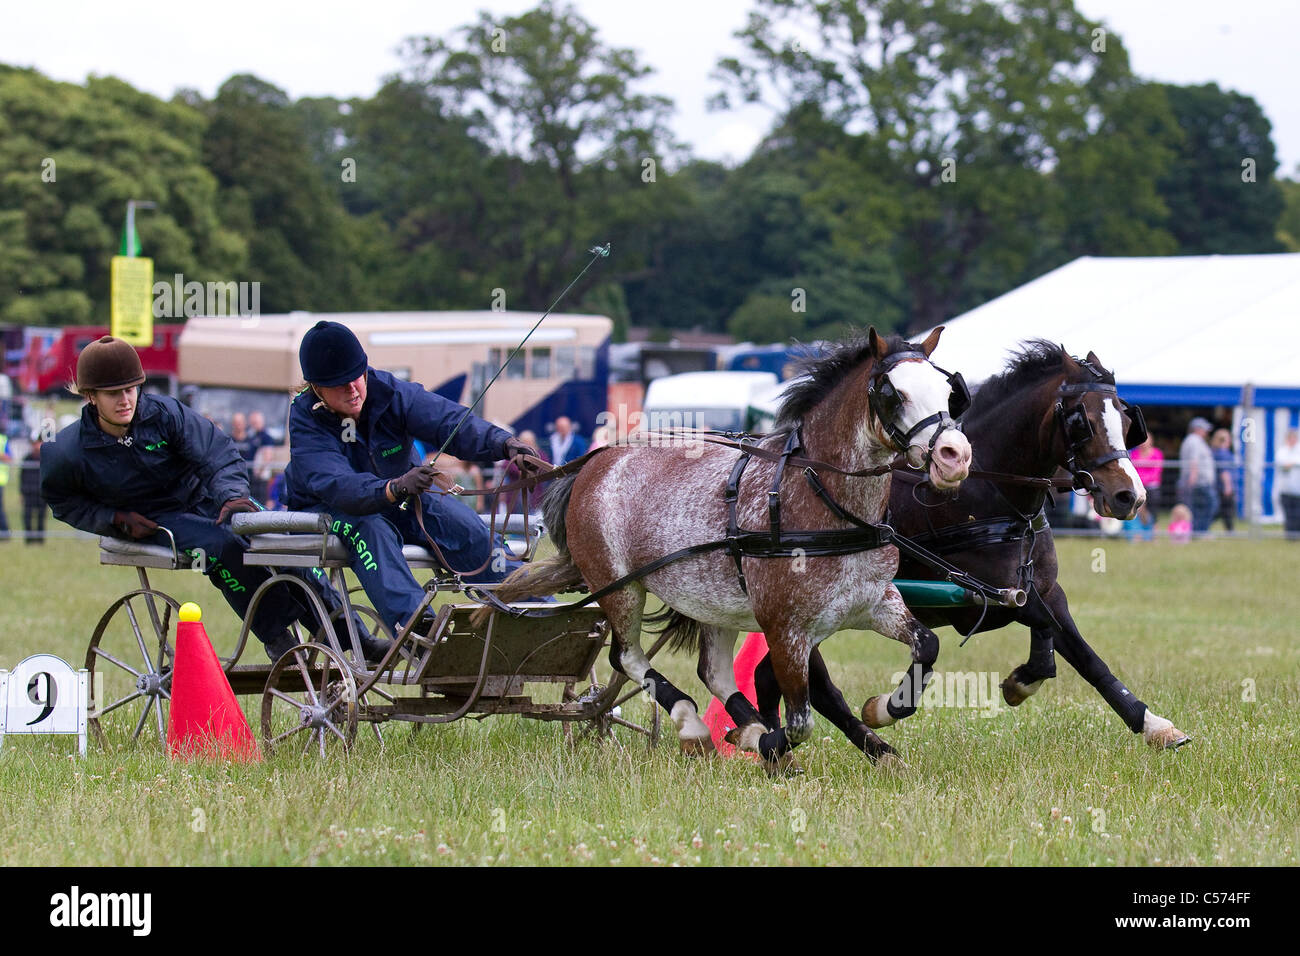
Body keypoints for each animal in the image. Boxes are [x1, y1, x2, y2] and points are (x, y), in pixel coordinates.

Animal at [491, 329, 972, 770]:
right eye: (892, 392)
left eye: (948, 391)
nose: (955, 455)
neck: (824, 501)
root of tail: (594, 462)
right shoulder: (785, 628)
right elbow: (800, 722)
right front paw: (766, 744)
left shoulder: (875, 602)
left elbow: (926, 647)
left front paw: (880, 711)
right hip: (619, 587)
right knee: (626, 655)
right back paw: (698, 725)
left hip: (710, 601)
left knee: (712, 671)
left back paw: (747, 727)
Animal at [759, 343, 1190, 754]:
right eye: (1082, 422)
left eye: (1127, 421)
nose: (1129, 496)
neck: (985, 492)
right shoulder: (982, 599)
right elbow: (1044, 625)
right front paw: (887, 706)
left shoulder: (1043, 588)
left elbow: (1080, 654)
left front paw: (1151, 724)